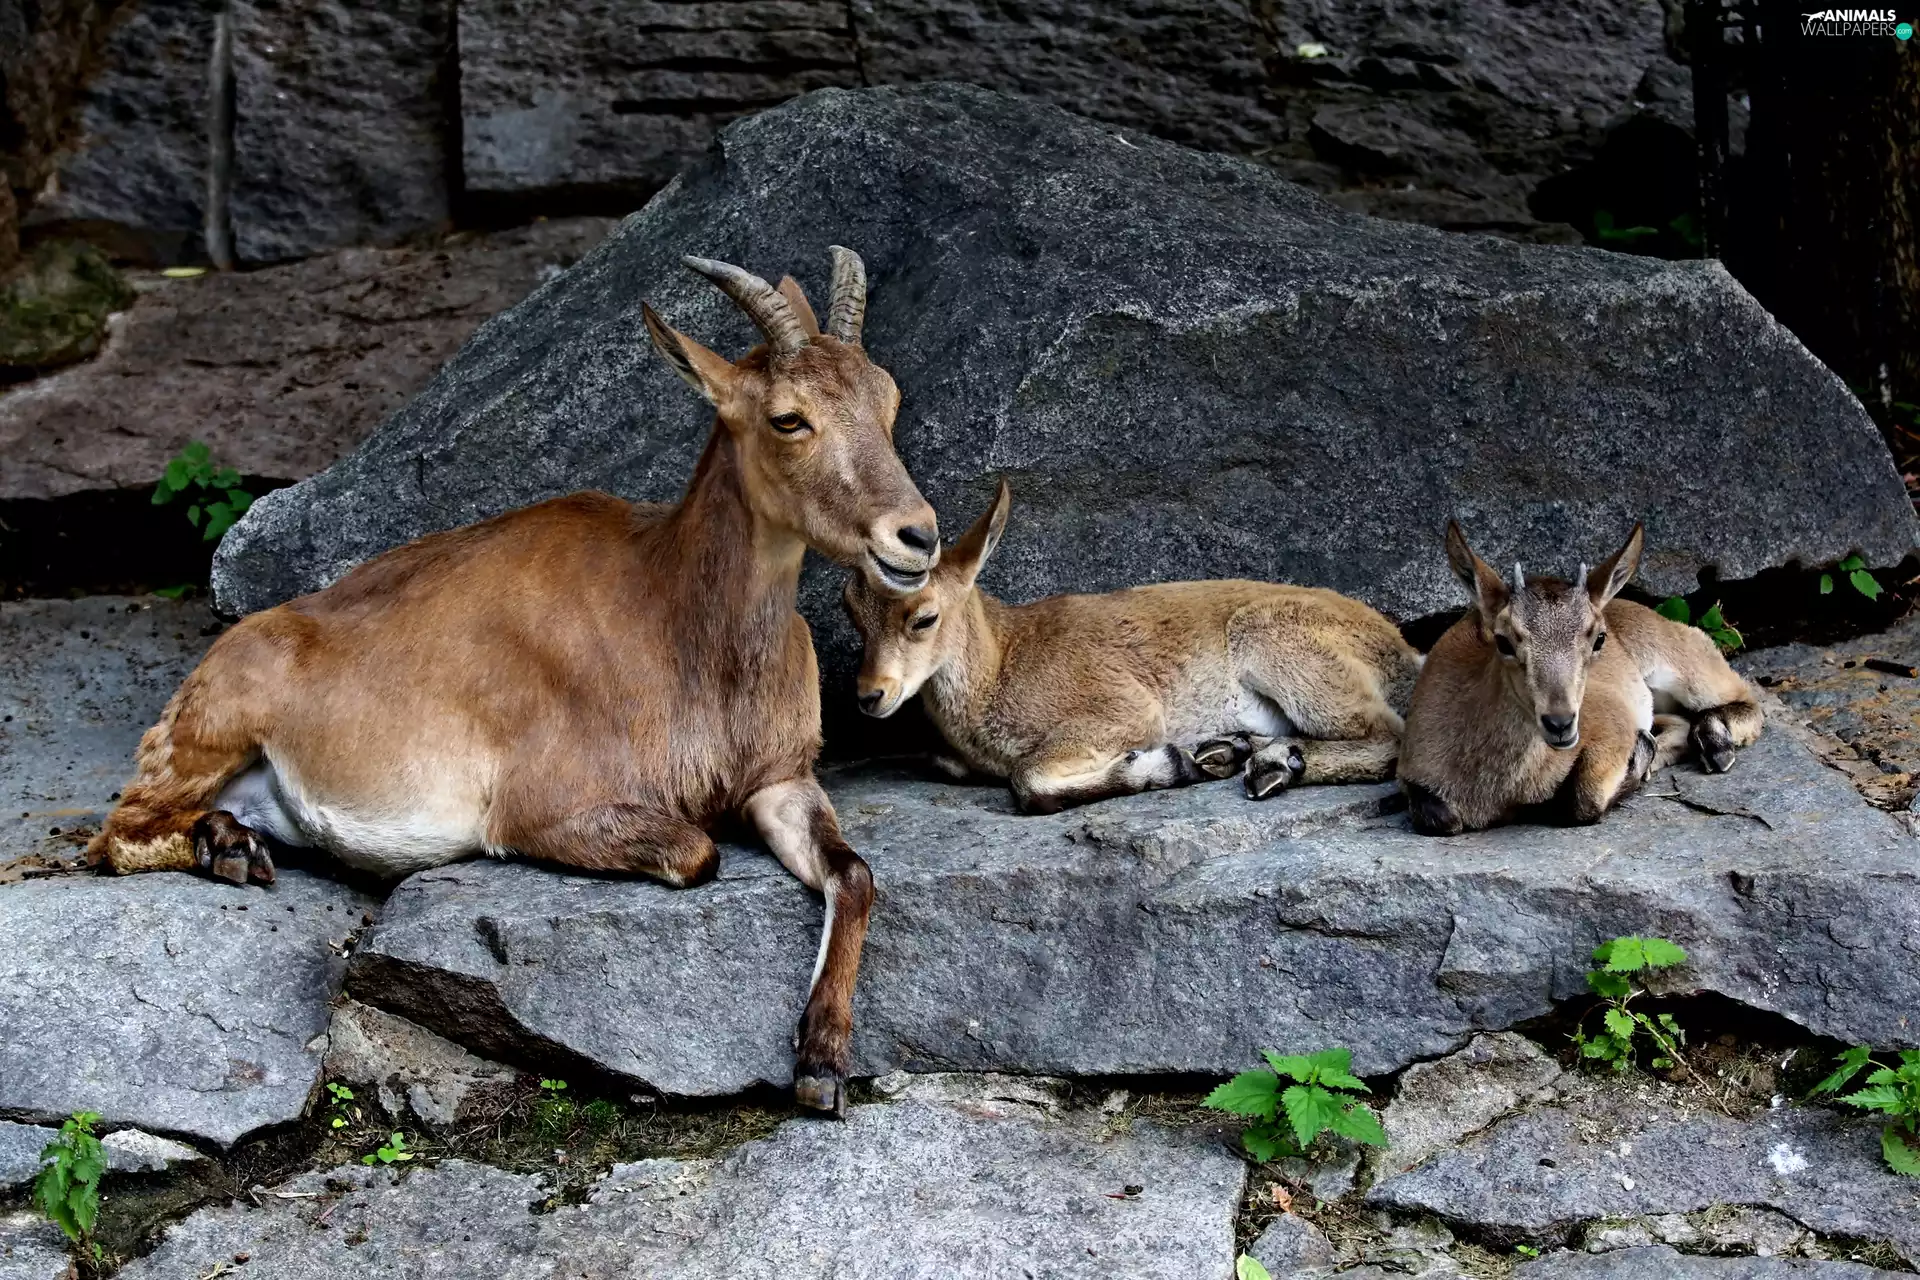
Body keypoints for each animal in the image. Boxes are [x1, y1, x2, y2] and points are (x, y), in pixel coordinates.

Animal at [85, 249, 939, 1114]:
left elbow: (855, 874)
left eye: (888, 397)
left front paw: (821, 1061)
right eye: (788, 418)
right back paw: (226, 852)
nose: (918, 536)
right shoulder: (546, 807)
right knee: (114, 832)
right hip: (212, 730)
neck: (677, 619)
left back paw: (233, 839)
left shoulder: (778, 778)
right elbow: (698, 853)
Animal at [842, 480, 1423, 813]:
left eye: (924, 617)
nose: (870, 695)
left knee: (1391, 736)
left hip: (1283, 649)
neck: (1001, 666)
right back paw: (1238, 749)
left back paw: (1273, 763)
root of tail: (1401, 651)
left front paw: (1173, 763)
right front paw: (1204, 756)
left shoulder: (1122, 709)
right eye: (852, 612)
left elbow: (1028, 781)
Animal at [1397, 521, 1764, 836]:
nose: (1560, 723)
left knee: (1742, 698)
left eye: (1599, 638)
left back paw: (1715, 744)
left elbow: (1584, 800)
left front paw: (1638, 758)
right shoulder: (1413, 771)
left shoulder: (1610, 726)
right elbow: (1438, 817)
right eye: (1503, 641)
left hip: (1676, 659)